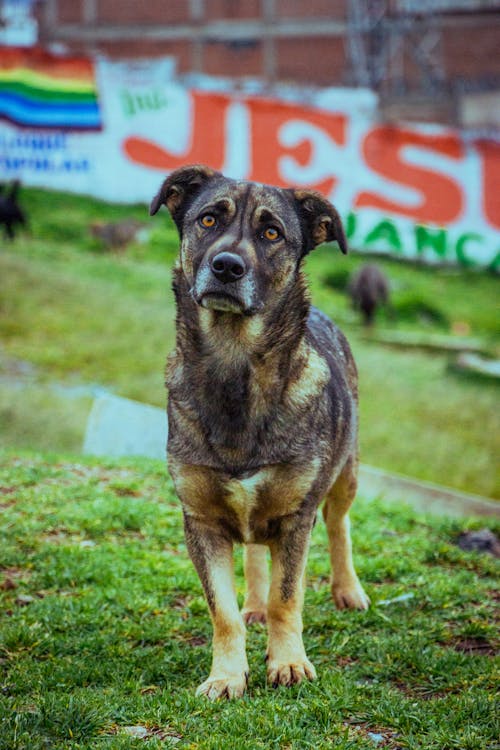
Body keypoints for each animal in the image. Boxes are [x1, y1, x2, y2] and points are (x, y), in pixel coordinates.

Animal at [150, 167, 370, 704]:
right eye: (209, 219)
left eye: (272, 233)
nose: (227, 267)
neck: (234, 365)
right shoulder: (201, 521)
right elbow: (223, 611)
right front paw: (227, 675)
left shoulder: (295, 518)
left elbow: (287, 598)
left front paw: (288, 663)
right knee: (253, 553)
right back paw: (254, 602)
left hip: (346, 472)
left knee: (339, 523)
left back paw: (347, 589)